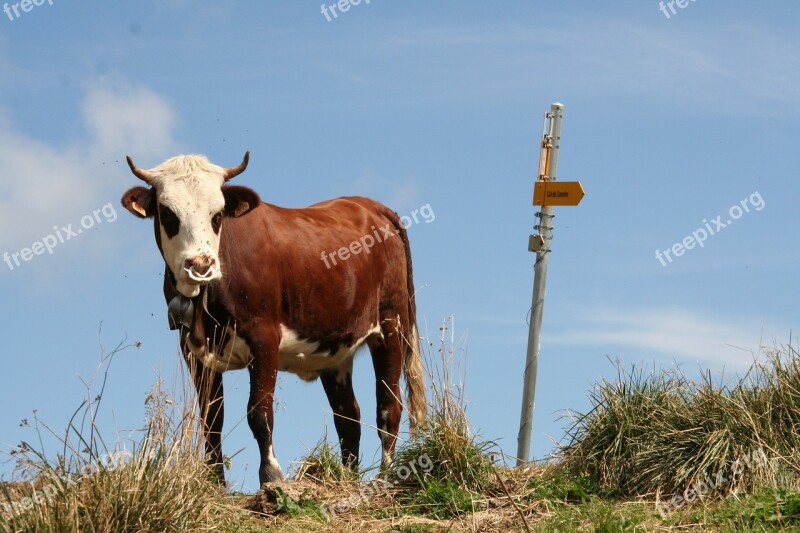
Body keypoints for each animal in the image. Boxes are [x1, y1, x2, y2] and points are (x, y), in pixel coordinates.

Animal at [119, 152, 424, 484]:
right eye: (168, 213)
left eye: (218, 215)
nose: (200, 264)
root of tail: (371, 206)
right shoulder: (192, 350)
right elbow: (212, 419)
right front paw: (215, 481)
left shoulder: (264, 338)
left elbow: (259, 412)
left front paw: (271, 474)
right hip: (337, 348)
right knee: (348, 417)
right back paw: (347, 478)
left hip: (391, 326)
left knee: (389, 407)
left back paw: (386, 476)